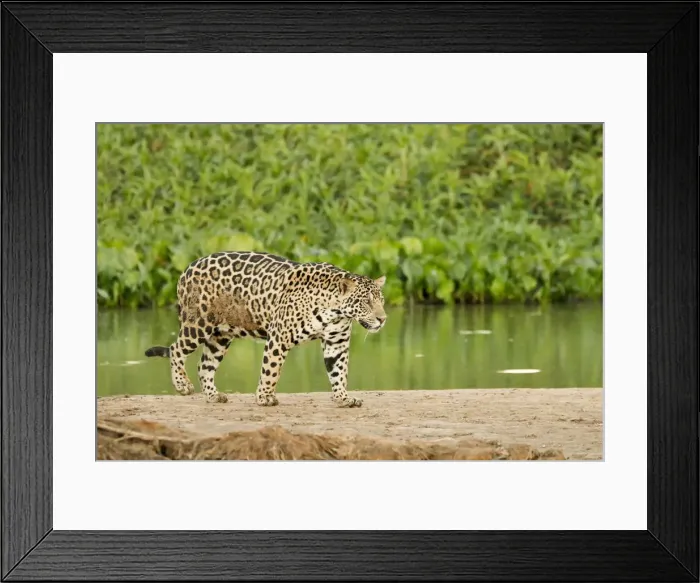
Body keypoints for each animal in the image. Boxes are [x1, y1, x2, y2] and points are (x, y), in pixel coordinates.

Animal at [145, 251, 387, 407]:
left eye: (381, 300)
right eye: (366, 302)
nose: (383, 319)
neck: (335, 311)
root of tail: (187, 267)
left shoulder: (337, 343)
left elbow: (339, 372)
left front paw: (343, 398)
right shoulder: (279, 337)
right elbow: (271, 369)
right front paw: (264, 397)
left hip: (220, 336)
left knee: (204, 366)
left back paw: (214, 396)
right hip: (198, 325)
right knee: (176, 349)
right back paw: (182, 385)